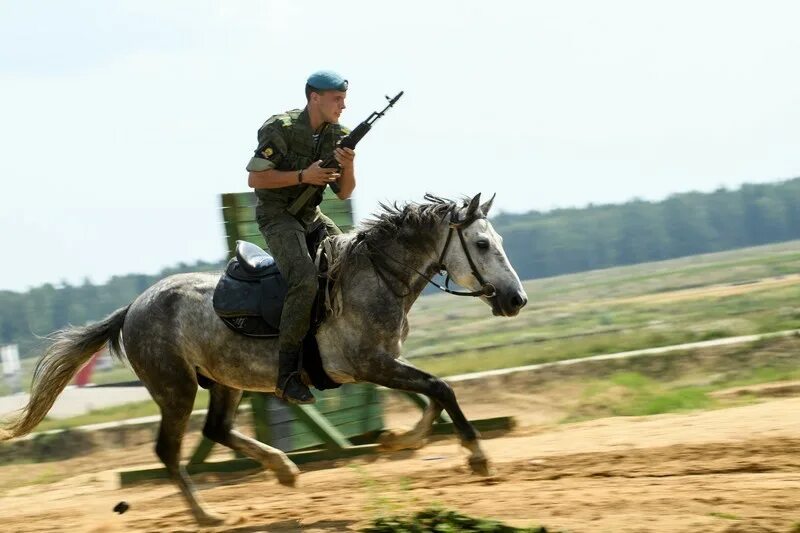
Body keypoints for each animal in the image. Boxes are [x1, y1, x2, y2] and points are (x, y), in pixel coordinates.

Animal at [0, 192, 528, 524]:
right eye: (482, 244)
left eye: (501, 242)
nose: (516, 299)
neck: (374, 277)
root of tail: (134, 307)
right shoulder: (372, 365)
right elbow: (441, 389)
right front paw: (477, 457)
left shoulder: (381, 366)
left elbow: (432, 397)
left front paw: (399, 440)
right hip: (176, 390)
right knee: (169, 451)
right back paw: (206, 514)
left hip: (224, 382)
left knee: (216, 430)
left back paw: (283, 469)